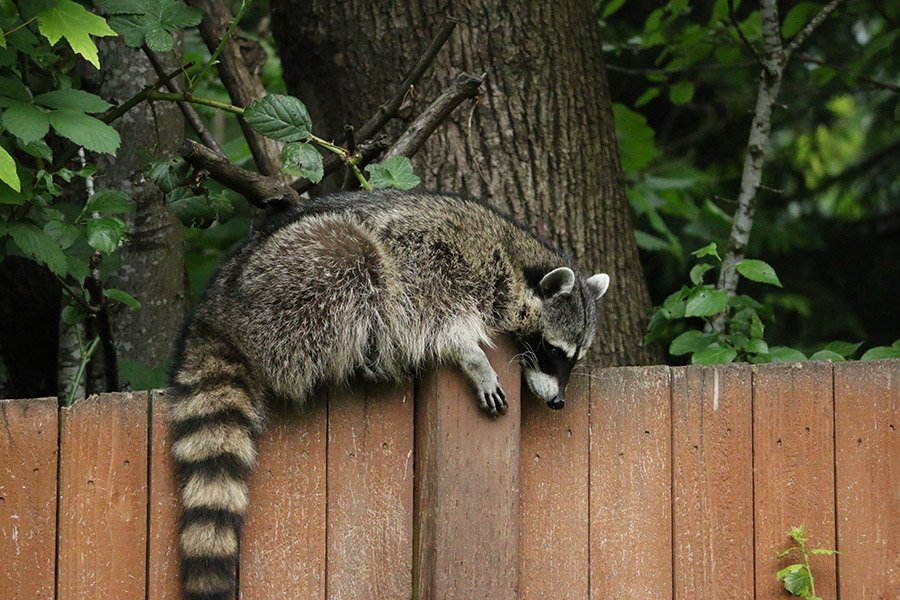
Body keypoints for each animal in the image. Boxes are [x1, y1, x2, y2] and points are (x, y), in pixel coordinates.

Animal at [168, 189, 608, 600]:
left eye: (574, 357)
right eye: (554, 350)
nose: (558, 402)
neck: (515, 258)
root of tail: (216, 311)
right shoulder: (433, 258)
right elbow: (432, 318)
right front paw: (471, 355)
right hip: (293, 283)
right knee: (355, 263)